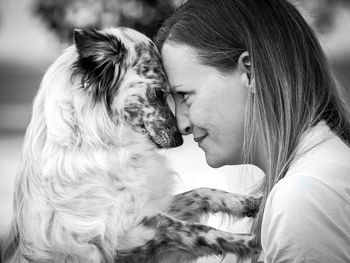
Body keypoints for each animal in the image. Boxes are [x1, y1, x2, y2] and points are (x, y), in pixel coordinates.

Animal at [1, 27, 262, 262]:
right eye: (160, 92)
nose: (180, 139)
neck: (101, 142)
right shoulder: (125, 233)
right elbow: (198, 230)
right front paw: (249, 242)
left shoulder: (149, 207)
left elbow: (201, 192)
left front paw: (250, 203)